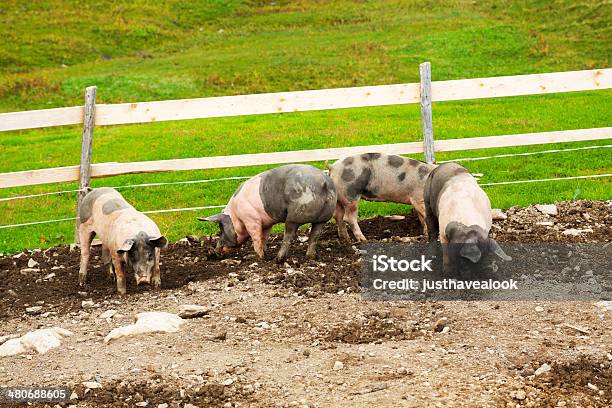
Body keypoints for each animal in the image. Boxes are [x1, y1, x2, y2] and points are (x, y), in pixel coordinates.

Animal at [200, 164, 334, 262]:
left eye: (221, 229)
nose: (215, 253)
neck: (235, 215)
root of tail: (323, 183)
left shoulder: (251, 219)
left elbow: (256, 238)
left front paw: (259, 258)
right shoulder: (266, 223)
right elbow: (264, 237)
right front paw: (265, 253)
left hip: (295, 215)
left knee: (289, 236)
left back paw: (278, 259)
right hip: (324, 217)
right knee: (314, 236)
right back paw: (310, 257)